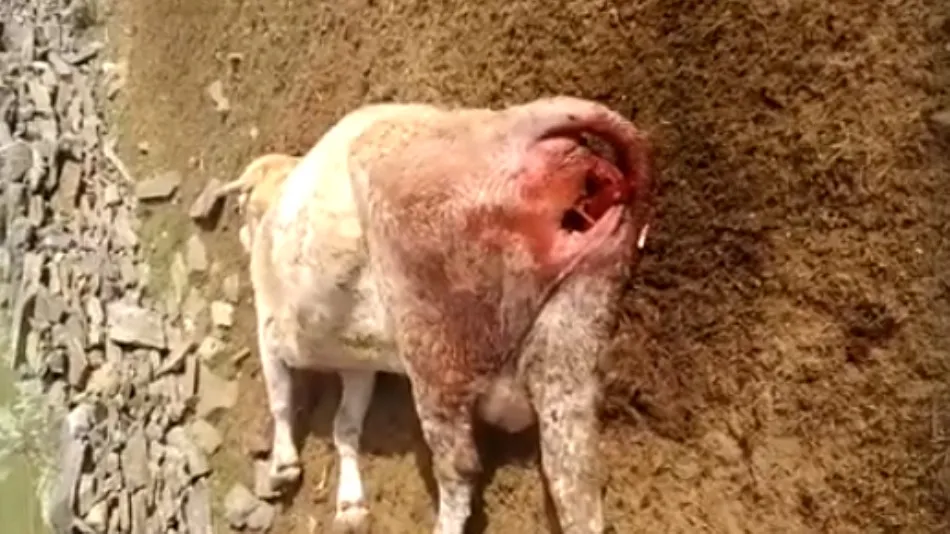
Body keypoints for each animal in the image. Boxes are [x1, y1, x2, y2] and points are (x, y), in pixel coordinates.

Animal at [215, 96, 654, 534]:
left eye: (241, 207)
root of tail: (516, 130)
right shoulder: (356, 366)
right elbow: (345, 423)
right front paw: (349, 504)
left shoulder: (271, 330)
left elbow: (280, 399)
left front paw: (283, 467)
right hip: (575, 322)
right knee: (577, 483)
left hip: (428, 334)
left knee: (460, 466)